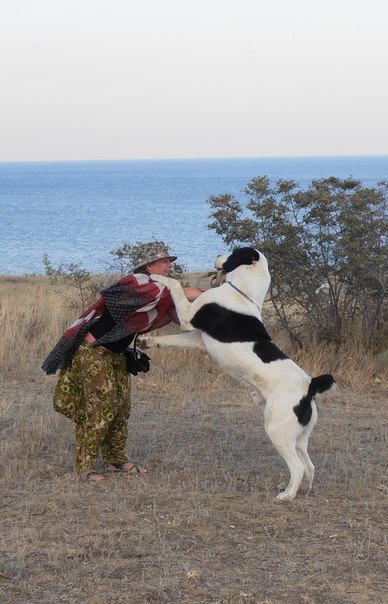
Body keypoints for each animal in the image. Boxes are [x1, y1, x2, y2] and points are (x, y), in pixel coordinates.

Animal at [140, 245, 336, 500]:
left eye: (233, 251)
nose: (216, 256)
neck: (242, 292)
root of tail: (310, 385)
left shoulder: (188, 317)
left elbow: (174, 284)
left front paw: (155, 276)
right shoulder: (197, 338)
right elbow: (169, 340)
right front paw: (146, 341)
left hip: (276, 429)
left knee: (298, 466)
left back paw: (286, 496)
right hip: (299, 436)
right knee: (309, 465)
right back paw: (300, 489)